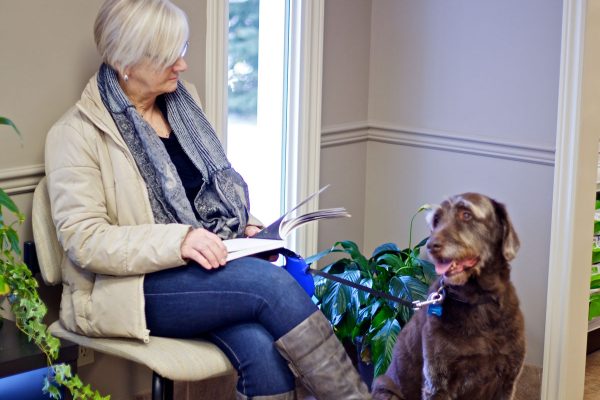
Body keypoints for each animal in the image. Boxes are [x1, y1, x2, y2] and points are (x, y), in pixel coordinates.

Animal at [372, 192, 524, 398]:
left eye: (466, 215)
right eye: (436, 220)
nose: (431, 245)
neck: (479, 300)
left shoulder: (507, 381)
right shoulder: (438, 382)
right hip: (385, 390)